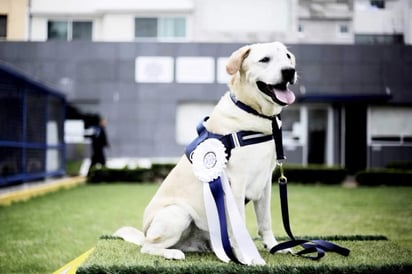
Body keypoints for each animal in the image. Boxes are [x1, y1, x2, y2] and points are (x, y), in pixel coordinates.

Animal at [115, 41, 296, 266]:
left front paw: (274, 246)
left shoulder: (265, 184)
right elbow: (240, 226)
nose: (289, 71)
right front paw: (249, 256)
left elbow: (265, 222)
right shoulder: (236, 185)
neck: (254, 112)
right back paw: (171, 253)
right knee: (148, 247)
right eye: (265, 60)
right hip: (178, 213)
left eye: (287, 57)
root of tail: (145, 231)